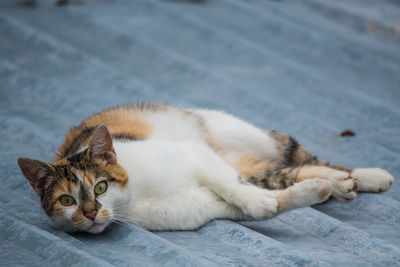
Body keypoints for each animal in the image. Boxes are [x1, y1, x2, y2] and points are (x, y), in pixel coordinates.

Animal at [17, 104, 392, 234]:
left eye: (100, 187)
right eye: (67, 201)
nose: (92, 213)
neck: (136, 195)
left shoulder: (195, 155)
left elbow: (232, 187)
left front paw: (257, 201)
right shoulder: (199, 208)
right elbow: (267, 206)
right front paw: (305, 195)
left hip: (245, 134)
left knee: (303, 158)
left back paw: (368, 176)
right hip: (256, 168)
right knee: (286, 174)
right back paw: (341, 184)